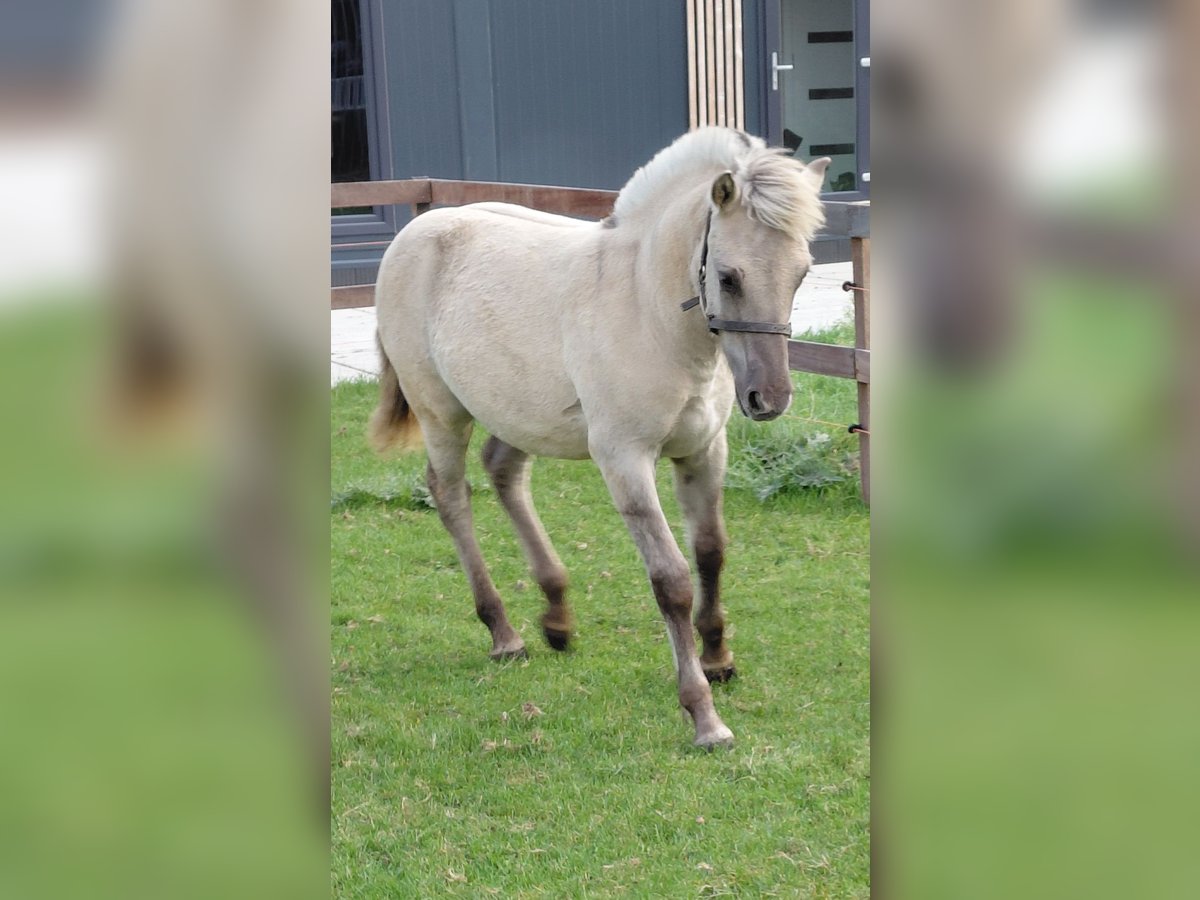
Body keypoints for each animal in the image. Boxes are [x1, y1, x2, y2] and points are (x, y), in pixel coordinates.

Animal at [370, 127, 829, 748]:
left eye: (801, 272)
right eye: (729, 277)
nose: (770, 398)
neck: (647, 312)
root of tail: (413, 233)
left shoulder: (703, 453)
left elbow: (711, 553)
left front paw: (718, 658)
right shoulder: (625, 462)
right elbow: (672, 580)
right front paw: (704, 716)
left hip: (519, 412)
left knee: (503, 472)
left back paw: (557, 616)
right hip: (442, 415)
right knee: (451, 496)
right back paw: (504, 633)